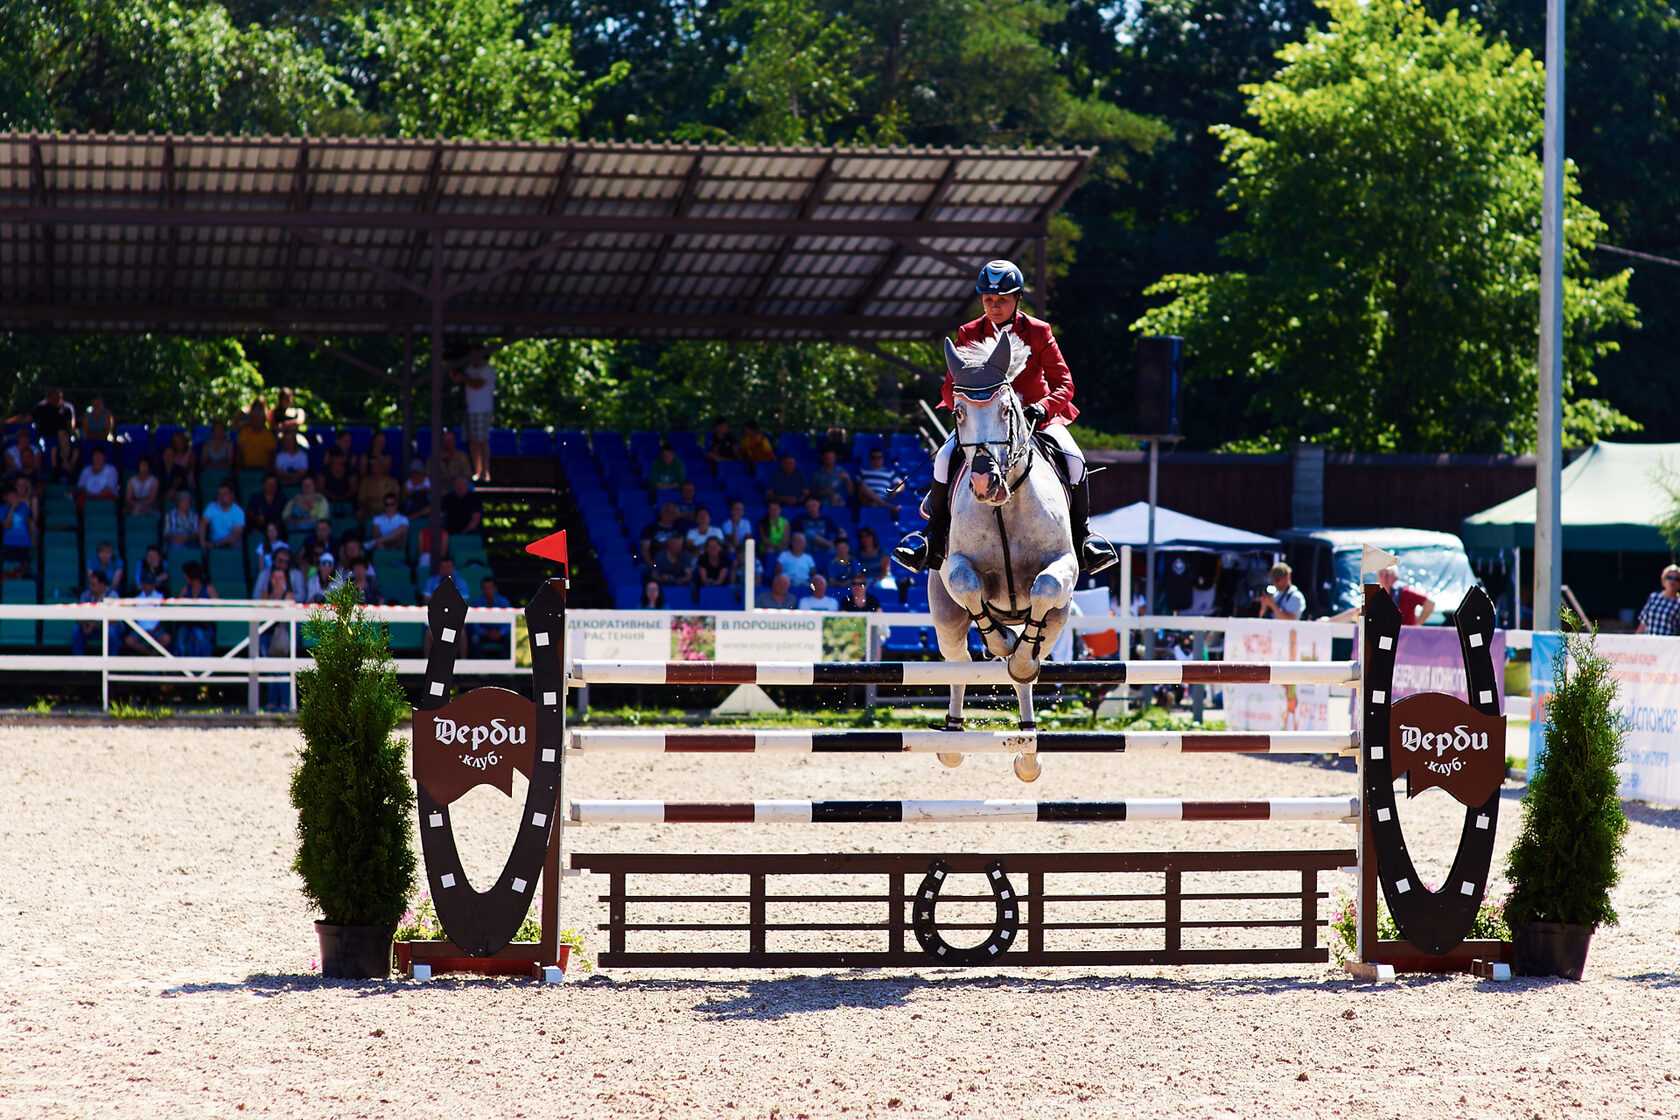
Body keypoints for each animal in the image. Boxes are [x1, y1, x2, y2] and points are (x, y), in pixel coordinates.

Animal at [927, 337, 1081, 785]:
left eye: (1007, 409)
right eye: (959, 412)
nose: (984, 481)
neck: (1004, 505)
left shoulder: (1065, 566)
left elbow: (1046, 586)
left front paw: (1019, 655)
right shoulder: (953, 567)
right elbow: (968, 585)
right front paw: (999, 640)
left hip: (1059, 618)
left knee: (1030, 662)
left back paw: (1028, 751)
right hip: (945, 618)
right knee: (958, 663)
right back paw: (952, 739)